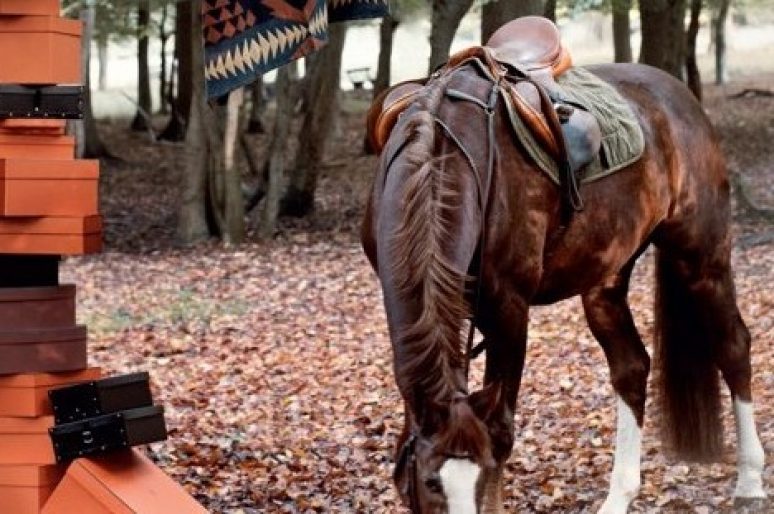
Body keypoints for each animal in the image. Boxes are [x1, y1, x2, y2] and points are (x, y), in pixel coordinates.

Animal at [360, 54, 768, 512]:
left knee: (733, 346)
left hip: (702, 257)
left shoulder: (508, 310)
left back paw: (750, 480)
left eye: (479, 476)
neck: (443, 155)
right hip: (606, 278)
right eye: (430, 482)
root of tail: (682, 97)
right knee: (632, 367)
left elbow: (501, 431)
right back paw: (619, 496)